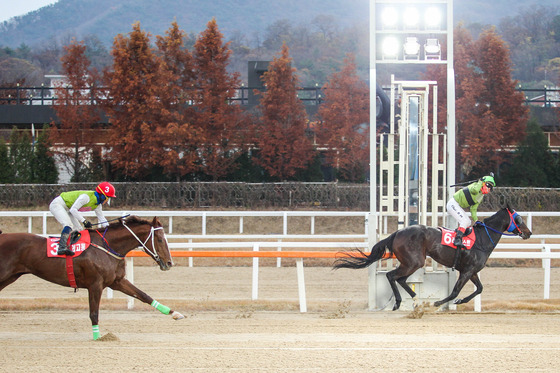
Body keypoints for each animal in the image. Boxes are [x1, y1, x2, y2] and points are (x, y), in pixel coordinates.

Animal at [0, 214, 185, 338]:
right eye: (160, 239)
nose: (169, 263)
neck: (107, 247)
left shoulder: (116, 281)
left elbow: (143, 295)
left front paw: (174, 313)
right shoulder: (95, 284)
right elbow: (94, 313)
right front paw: (99, 337)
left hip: (10, 276)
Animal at [334, 205, 532, 310]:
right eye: (519, 219)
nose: (529, 232)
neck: (482, 239)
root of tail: (397, 232)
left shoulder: (472, 271)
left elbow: (480, 289)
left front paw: (460, 301)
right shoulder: (467, 271)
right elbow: (455, 291)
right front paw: (438, 303)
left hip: (412, 262)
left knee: (401, 279)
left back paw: (415, 299)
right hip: (414, 261)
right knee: (392, 276)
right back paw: (399, 302)